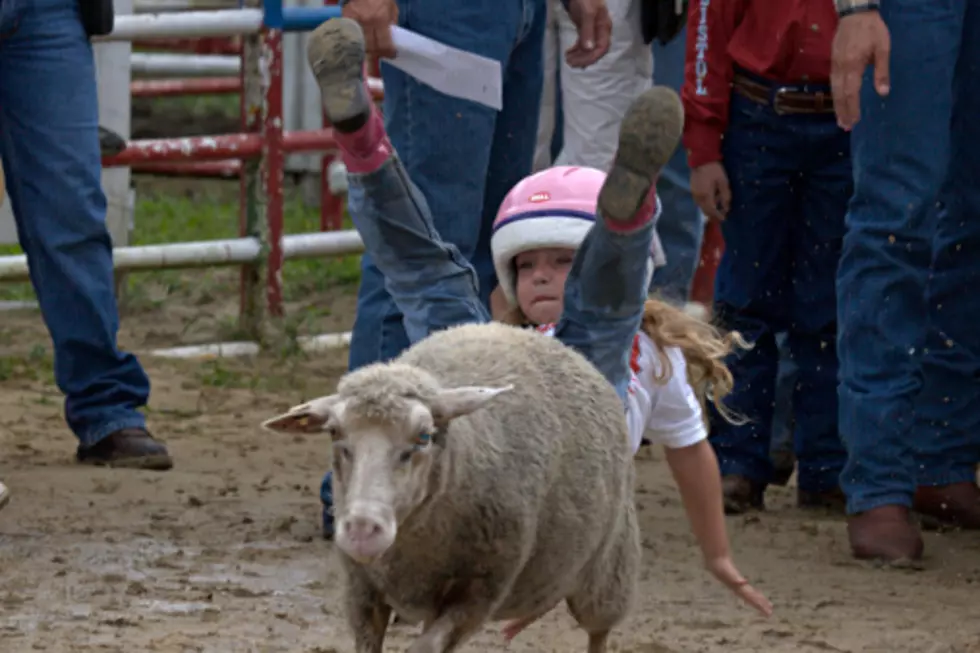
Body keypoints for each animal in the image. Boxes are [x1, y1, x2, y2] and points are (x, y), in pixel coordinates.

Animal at [264, 322, 640, 652]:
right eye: (333, 432)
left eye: (424, 436)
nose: (361, 530)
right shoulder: (361, 592)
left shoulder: (479, 594)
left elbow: (424, 648)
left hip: (609, 572)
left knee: (599, 634)